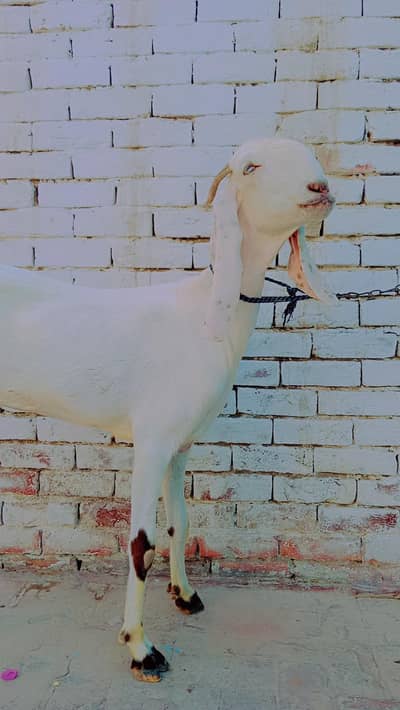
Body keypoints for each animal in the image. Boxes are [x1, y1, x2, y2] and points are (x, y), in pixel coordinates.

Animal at [0, 138, 336, 682]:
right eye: (251, 167)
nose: (320, 188)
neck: (202, 315)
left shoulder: (180, 444)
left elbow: (180, 520)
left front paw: (185, 594)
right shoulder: (152, 440)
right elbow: (141, 544)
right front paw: (141, 648)